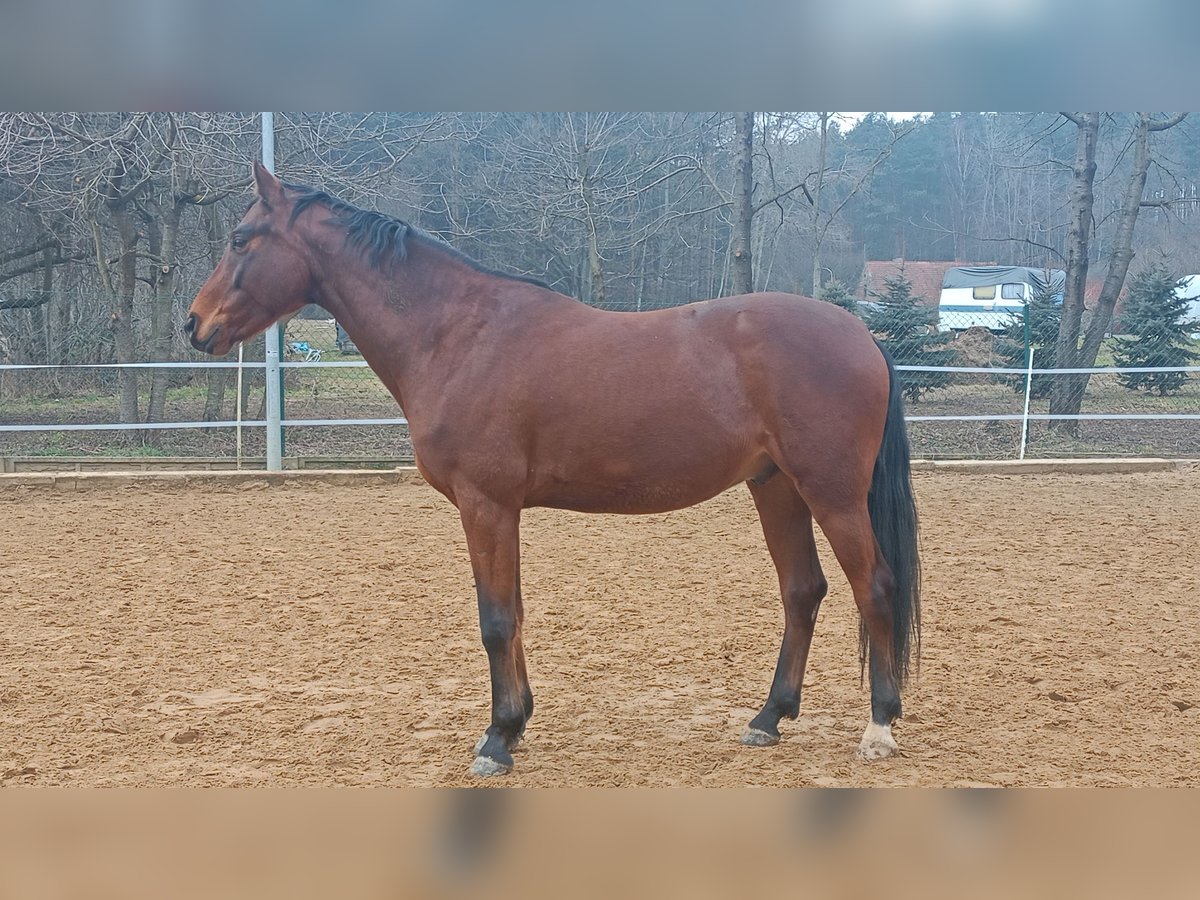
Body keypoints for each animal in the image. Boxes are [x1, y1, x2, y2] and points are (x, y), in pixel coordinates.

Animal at [184, 164, 916, 782]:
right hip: (777, 488)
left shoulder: (484, 503)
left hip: (831, 493)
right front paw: (516, 724)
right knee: (803, 591)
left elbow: (495, 619)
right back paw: (769, 718)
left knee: (875, 587)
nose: (194, 325)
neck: (459, 335)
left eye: (240, 239)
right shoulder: (498, 509)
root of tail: (864, 336)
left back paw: (880, 727)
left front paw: (496, 738)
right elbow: (513, 611)